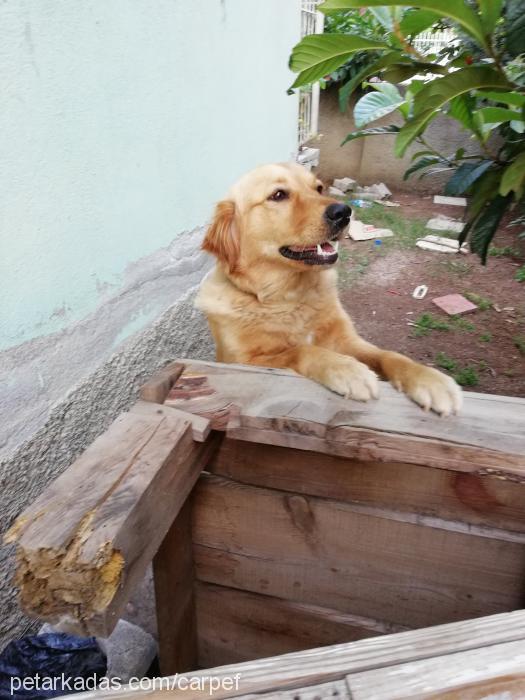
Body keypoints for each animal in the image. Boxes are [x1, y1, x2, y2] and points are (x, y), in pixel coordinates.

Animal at [194, 163, 460, 416]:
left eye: (319, 188)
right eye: (278, 195)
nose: (343, 212)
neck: (289, 298)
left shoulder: (348, 341)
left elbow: (388, 355)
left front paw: (429, 380)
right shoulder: (243, 362)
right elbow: (302, 350)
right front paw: (348, 370)